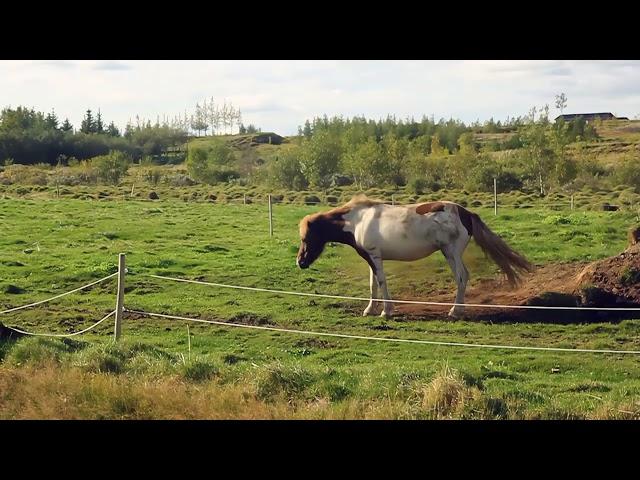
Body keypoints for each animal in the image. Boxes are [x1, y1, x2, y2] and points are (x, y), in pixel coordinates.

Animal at [296, 195, 536, 318]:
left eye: (306, 237)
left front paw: (387, 311)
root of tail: (466, 213)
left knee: (461, 277)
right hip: (449, 253)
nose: (300, 262)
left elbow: (381, 283)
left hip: (451, 252)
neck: (358, 220)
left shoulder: (375, 257)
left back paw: (455, 311)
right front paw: (370, 309)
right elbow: (373, 284)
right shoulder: (372, 258)